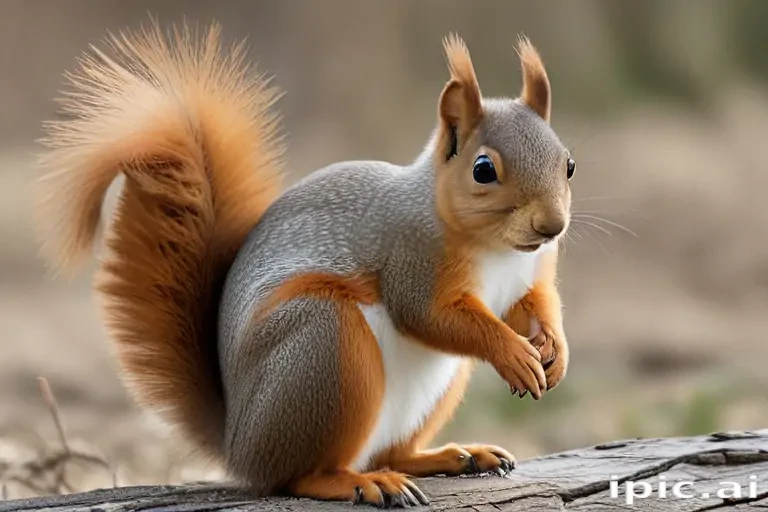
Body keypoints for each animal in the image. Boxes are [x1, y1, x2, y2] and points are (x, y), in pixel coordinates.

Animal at [36, 22, 573, 508]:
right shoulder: (411, 258)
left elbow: (531, 308)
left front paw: (554, 349)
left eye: (568, 164)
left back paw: (454, 456)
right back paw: (359, 483)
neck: (500, 251)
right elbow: (429, 316)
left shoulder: (527, 279)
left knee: (393, 452)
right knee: (298, 476)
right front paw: (512, 353)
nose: (552, 226)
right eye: (483, 170)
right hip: (324, 344)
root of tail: (238, 445)